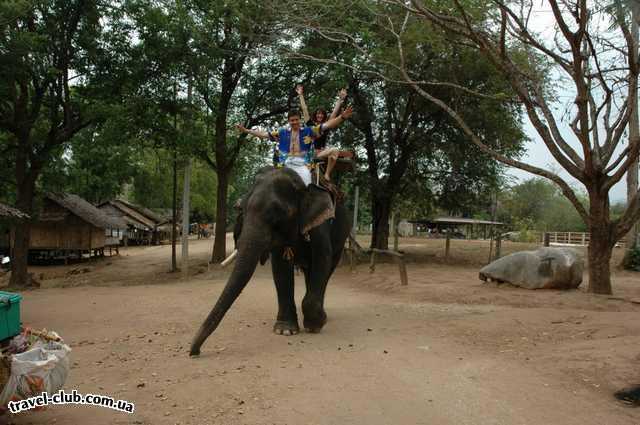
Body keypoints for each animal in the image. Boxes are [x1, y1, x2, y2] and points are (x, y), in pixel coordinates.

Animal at [189, 165, 350, 354]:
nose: (194, 351)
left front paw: (315, 325)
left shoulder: (320, 225)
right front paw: (285, 330)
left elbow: (322, 258)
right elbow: (280, 268)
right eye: (241, 209)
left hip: (341, 238)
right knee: (308, 271)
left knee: (326, 269)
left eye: (279, 214)